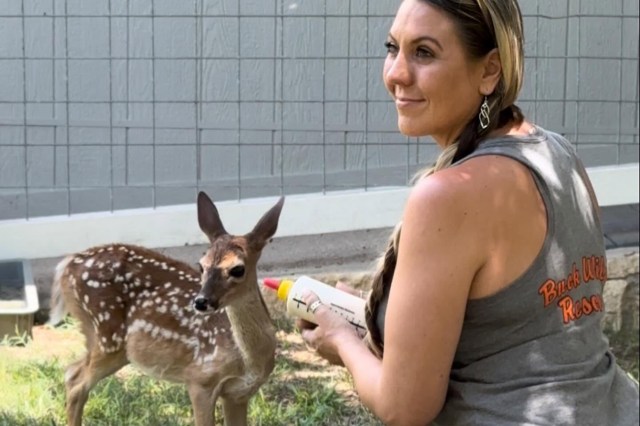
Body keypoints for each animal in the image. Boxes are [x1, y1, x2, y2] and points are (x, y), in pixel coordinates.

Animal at [48, 191, 285, 426]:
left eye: (237, 269)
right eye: (201, 265)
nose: (201, 301)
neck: (249, 359)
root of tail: (65, 265)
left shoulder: (238, 394)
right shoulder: (200, 379)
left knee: (71, 373)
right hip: (107, 336)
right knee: (76, 381)